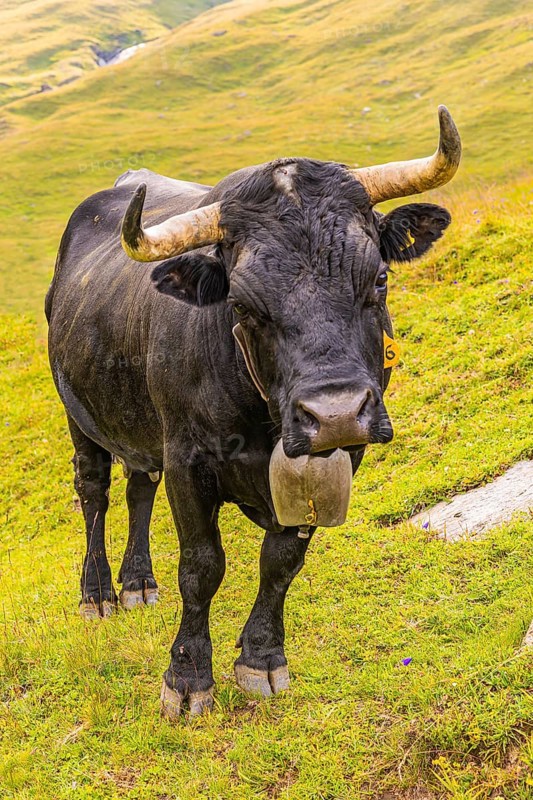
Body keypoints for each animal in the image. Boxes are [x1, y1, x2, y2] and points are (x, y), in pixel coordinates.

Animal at [46, 106, 461, 717]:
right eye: (241, 305)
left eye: (379, 278)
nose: (334, 413)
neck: (264, 426)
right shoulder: (188, 460)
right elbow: (201, 567)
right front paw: (187, 678)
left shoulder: (336, 460)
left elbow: (282, 559)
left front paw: (261, 657)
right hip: (79, 416)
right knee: (93, 492)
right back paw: (97, 592)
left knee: (139, 486)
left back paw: (138, 583)